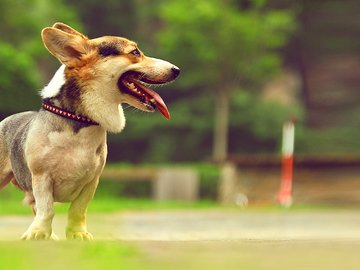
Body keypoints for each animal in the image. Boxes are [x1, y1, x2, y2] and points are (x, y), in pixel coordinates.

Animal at [0, 22, 180, 239]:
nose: (177, 70)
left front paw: (77, 234)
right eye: (135, 52)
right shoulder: (41, 178)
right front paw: (38, 233)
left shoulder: (91, 182)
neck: (82, 121)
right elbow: (47, 209)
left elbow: (78, 210)